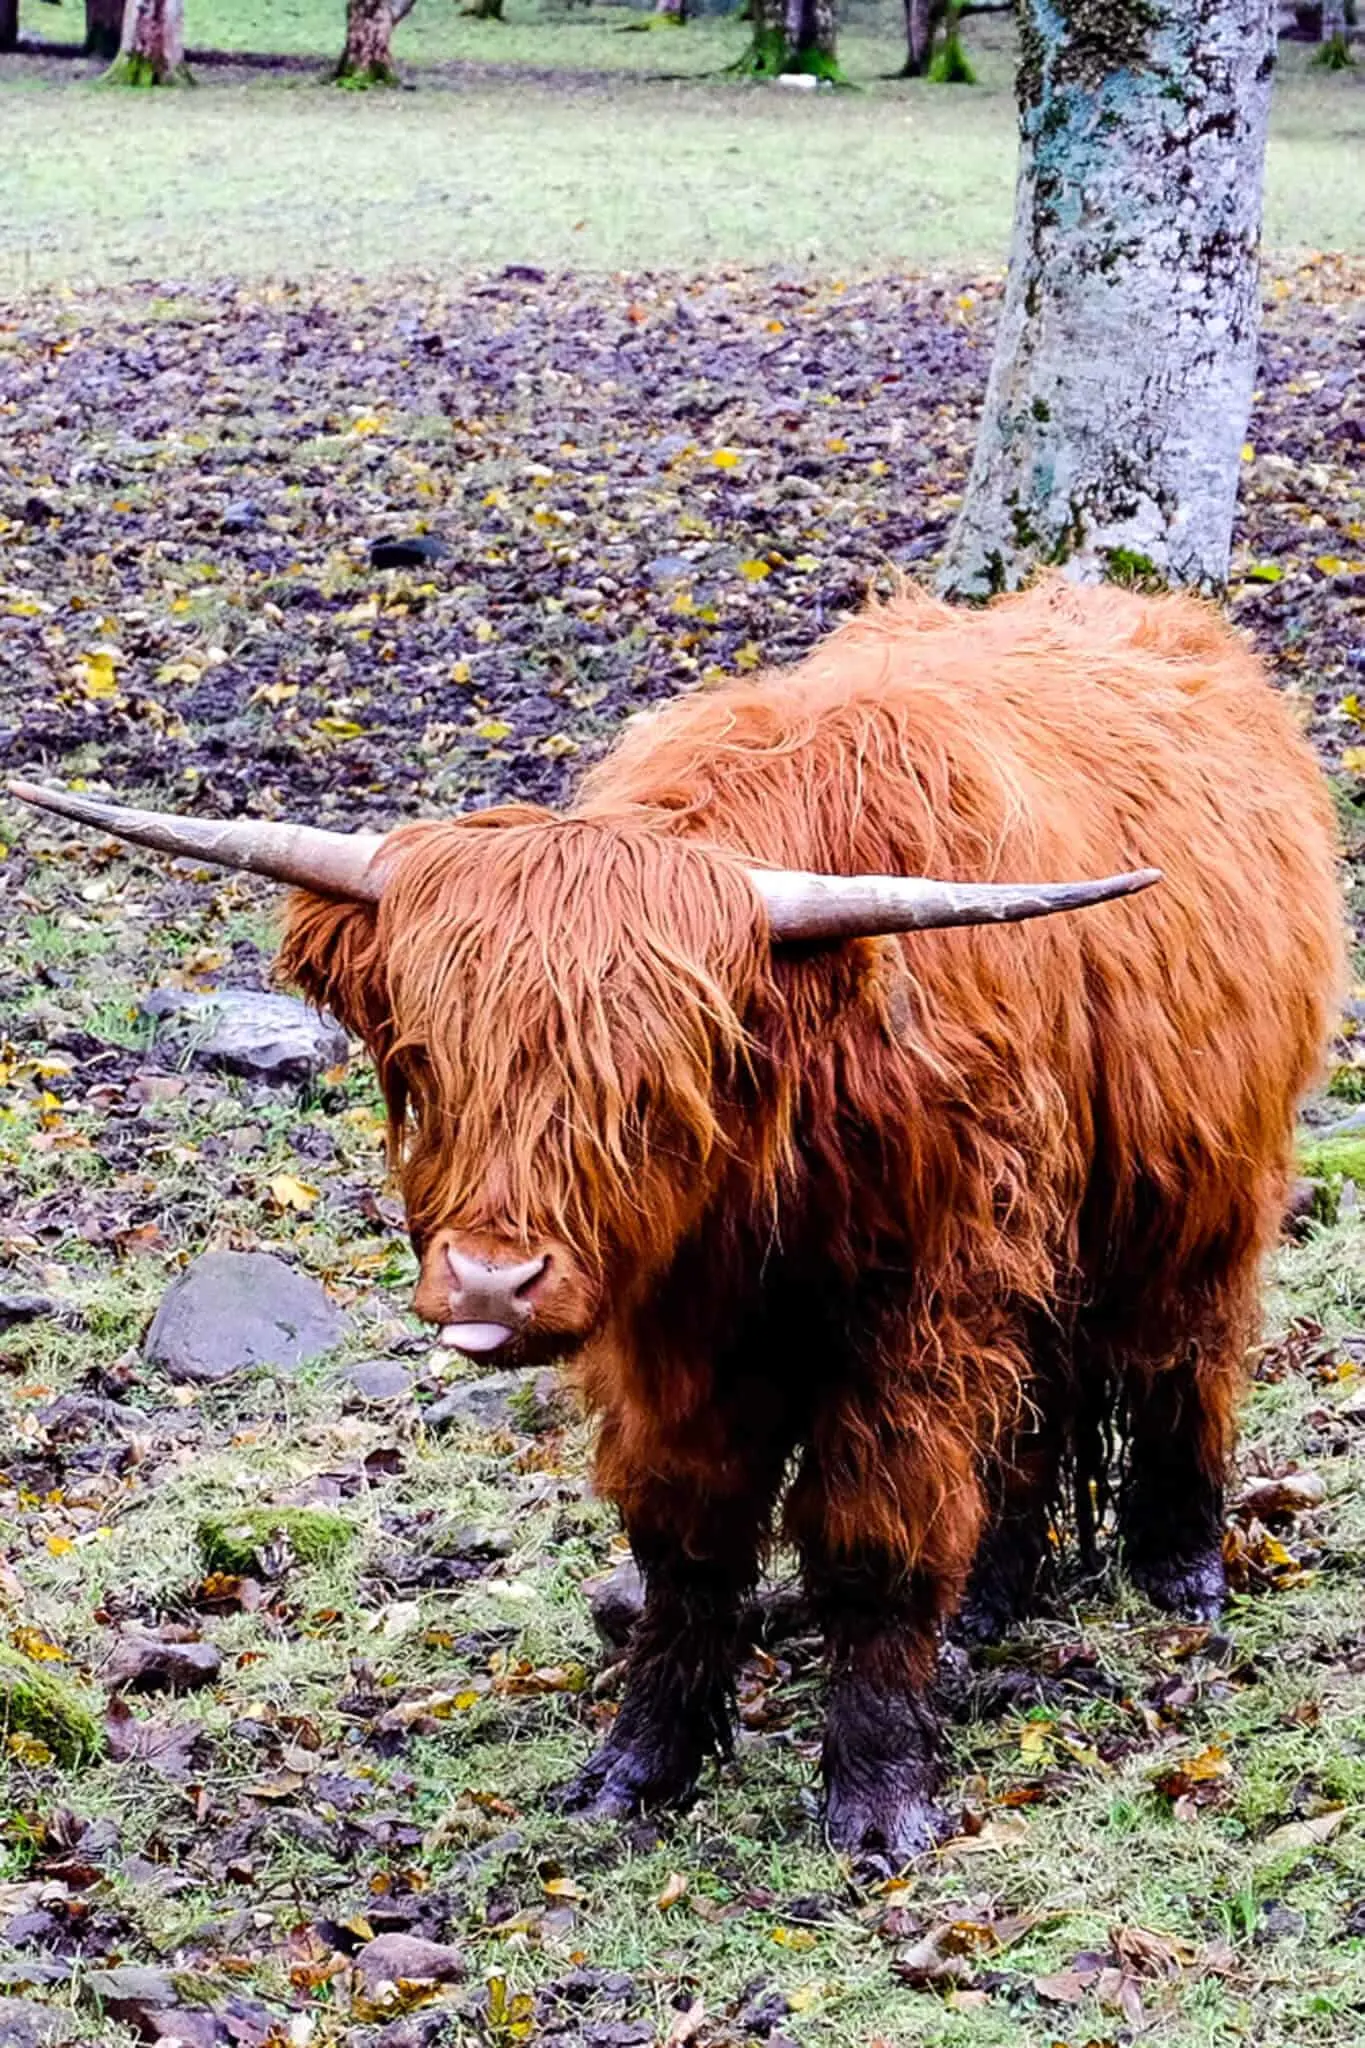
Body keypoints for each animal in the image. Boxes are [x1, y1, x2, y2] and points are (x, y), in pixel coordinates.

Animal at [13, 577, 1342, 1875]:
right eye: (426, 1058)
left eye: (652, 1084)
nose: (491, 1281)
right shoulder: (678, 1336)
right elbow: (684, 1538)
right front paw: (637, 1766)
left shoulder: (921, 1303)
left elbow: (875, 1532)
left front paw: (877, 1797)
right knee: (1028, 1409)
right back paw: (987, 1601)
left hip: (1199, 1191)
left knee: (1182, 1350)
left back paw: (1182, 1567)